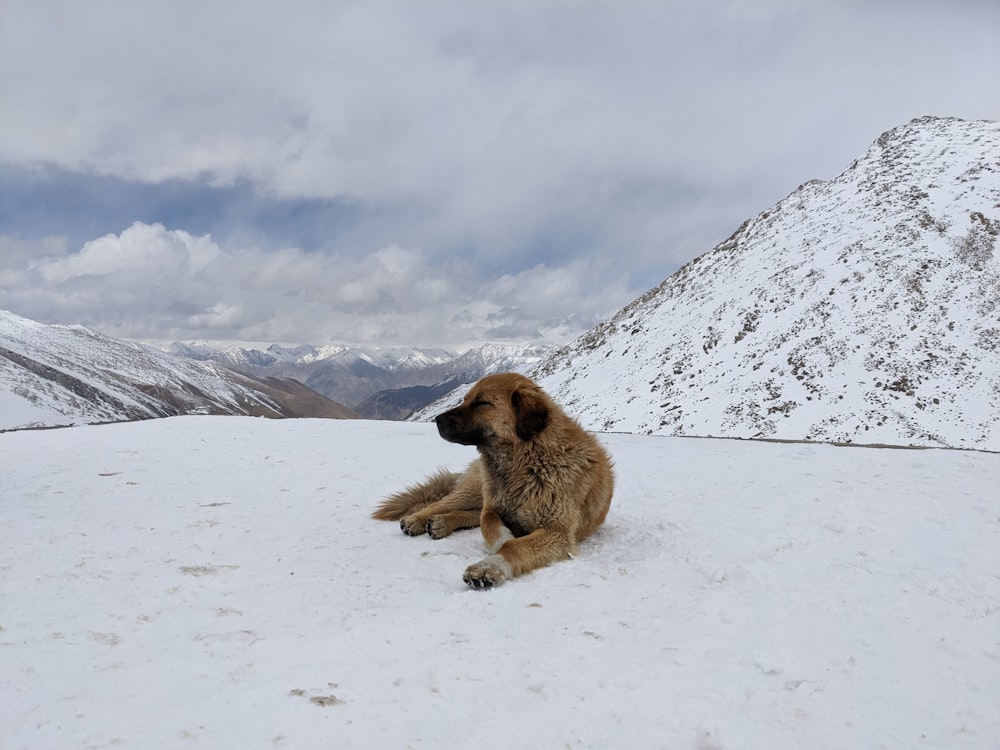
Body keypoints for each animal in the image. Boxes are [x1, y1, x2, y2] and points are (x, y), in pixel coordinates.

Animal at [374, 374, 612, 592]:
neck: (527, 461)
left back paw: (441, 523)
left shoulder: (556, 531)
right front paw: (503, 540)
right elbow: (490, 525)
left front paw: (489, 566)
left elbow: (512, 546)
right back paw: (417, 520)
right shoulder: (494, 507)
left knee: (469, 513)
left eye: (481, 403)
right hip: (476, 489)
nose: (437, 420)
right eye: (465, 399)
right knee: (443, 504)